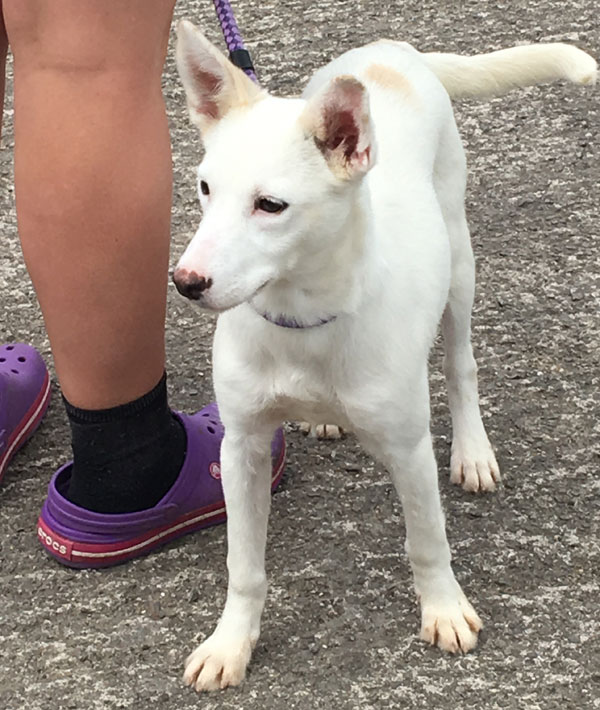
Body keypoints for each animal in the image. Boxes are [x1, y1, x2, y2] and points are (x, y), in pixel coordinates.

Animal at [172, 19, 596, 692]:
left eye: (271, 205)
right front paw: (230, 643)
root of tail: (392, 53)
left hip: (459, 266)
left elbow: (427, 539)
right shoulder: (240, 449)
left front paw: (444, 608)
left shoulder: (408, 448)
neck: (304, 322)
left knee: (460, 364)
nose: (186, 282)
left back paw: (473, 450)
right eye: (205, 188)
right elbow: (244, 566)